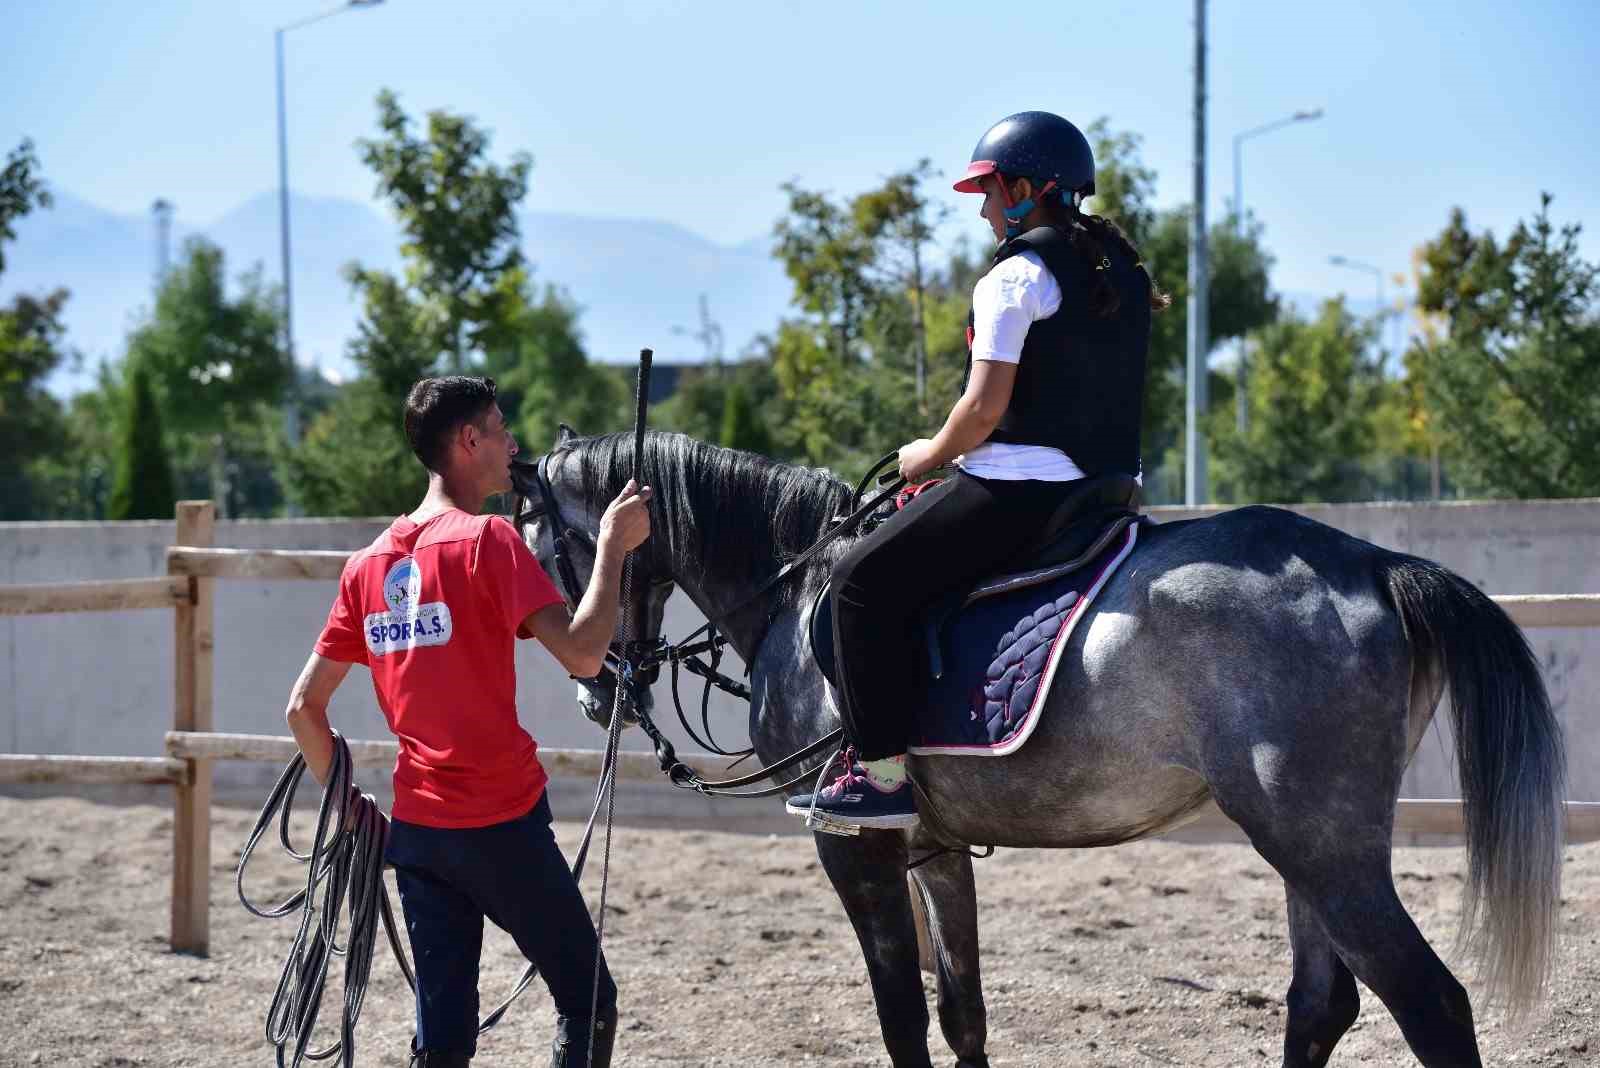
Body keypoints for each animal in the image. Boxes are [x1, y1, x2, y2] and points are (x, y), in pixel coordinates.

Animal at [521, 428, 1561, 1068]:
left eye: (542, 548)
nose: (594, 687)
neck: (799, 588)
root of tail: (1379, 566)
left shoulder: (851, 848)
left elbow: (902, 1020)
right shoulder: (931, 848)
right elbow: (961, 1013)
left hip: (1323, 846)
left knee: (1431, 1006)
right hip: (1310, 850)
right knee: (1320, 1005)